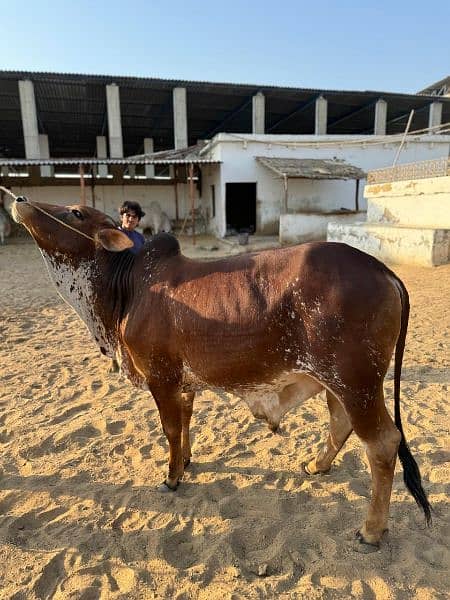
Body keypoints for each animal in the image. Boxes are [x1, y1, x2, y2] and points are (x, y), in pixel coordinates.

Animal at [12, 197, 430, 548]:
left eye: (76, 212)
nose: (19, 201)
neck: (126, 287)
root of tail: (382, 269)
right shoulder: (183, 383)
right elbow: (184, 422)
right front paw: (185, 460)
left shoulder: (160, 377)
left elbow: (170, 428)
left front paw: (171, 478)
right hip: (337, 382)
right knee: (341, 423)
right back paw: (316, 465)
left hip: (357, 382)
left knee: (382, 443)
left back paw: (371, 530)